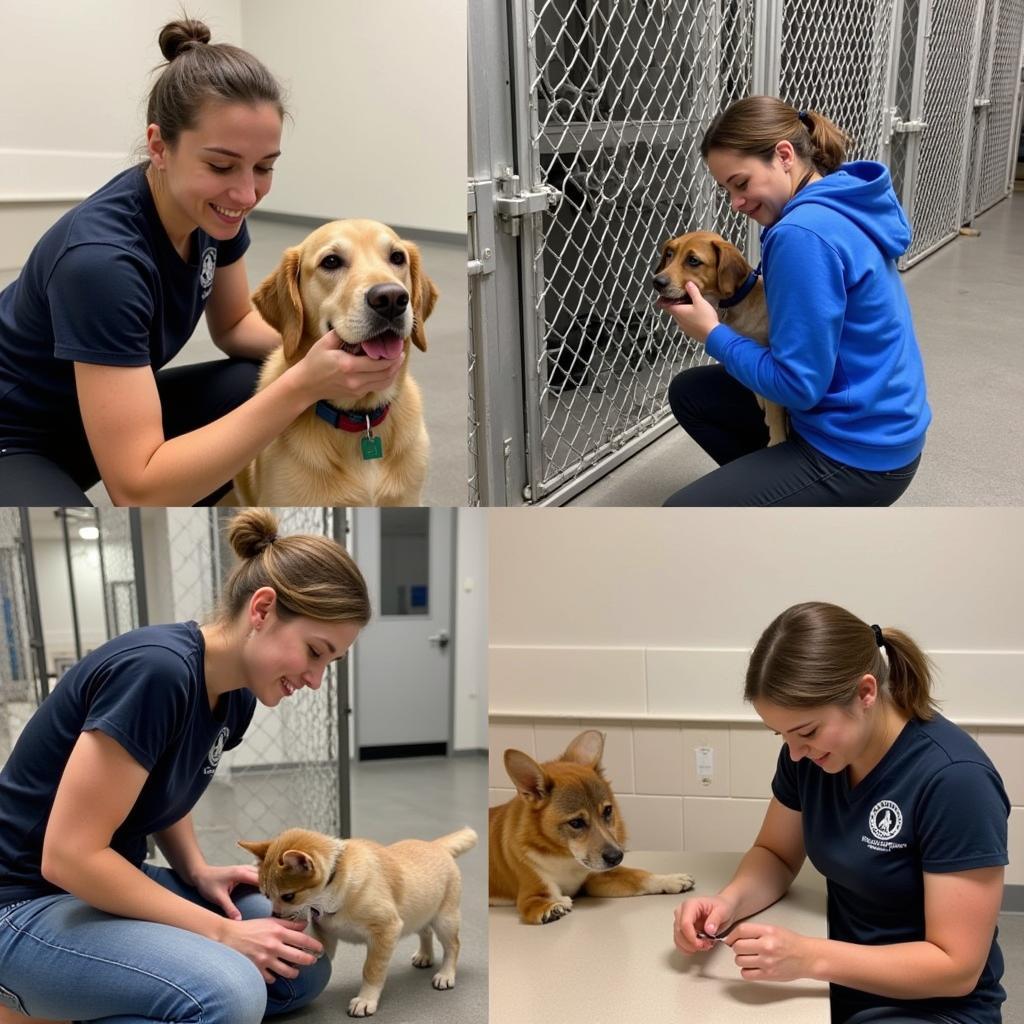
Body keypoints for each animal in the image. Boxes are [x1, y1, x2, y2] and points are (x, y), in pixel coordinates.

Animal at [241, 823, 477, 1015]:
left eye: (288, 896)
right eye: (266, 895)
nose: (275, 916)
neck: (330, 894)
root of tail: (435, 845)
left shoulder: (386, 930)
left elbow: (371, 970)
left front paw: (366, 1000)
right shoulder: (325, 931)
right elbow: (320, 946)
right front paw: (304, 954)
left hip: (444, 920)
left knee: (453, 946)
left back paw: (446, 974)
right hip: (419, 912)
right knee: (425, 931)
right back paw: (425, 955)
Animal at [487, 729, 696, 929]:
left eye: (608, 810)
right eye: (576, 823)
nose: (616, 857)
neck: (566, 858)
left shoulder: (596, 878)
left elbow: (639, 876)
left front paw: (671, 879)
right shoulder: (531, 893)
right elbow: (537, 903)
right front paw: (551, 908)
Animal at [651, 231, 786, 444]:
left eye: (693, 260)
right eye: (670, 253)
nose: (657, 282)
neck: (736, 303)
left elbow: (774, 413)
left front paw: (777, 439)